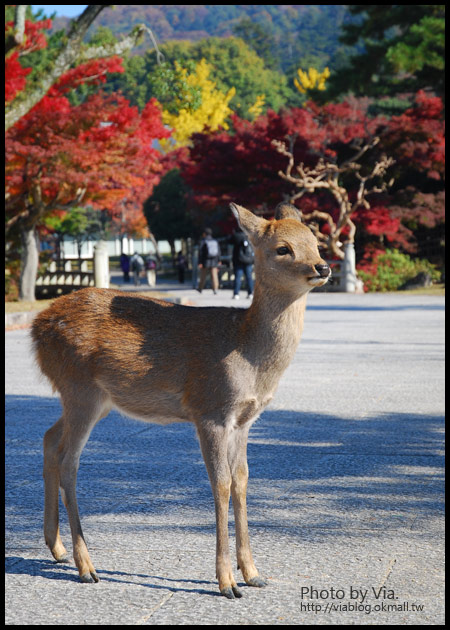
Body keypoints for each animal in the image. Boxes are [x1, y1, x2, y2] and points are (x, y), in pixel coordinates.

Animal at [29, 204, 328, 604]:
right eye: (283, 248)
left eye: (316, 241)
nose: (322, 267)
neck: (247, 355)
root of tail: (36, 328)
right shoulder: (210, 409)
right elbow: (220, 483)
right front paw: (227, 583)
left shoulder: (245, 420)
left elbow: (242, 480)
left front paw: (253, 574)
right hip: (80, 389)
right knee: (69, 462)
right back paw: (86, 566)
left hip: (92, 398)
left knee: (49, 439)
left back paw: (57, 548)